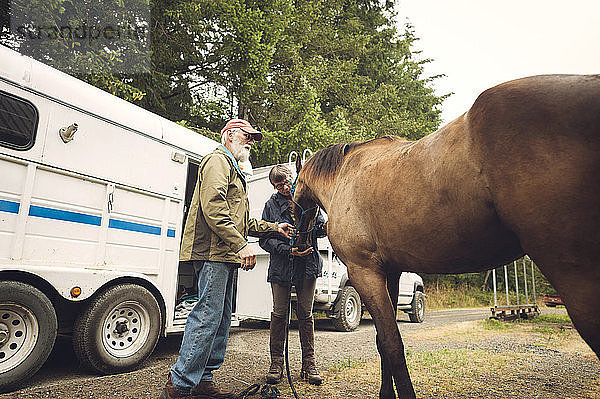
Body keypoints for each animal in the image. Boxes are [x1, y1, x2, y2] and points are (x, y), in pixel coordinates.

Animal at [292, 74, 600, 396]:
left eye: (291, 194)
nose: (299, 246)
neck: (344, 175)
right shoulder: (390, 272)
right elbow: (382, 342)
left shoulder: (364, 272)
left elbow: (391, 344)